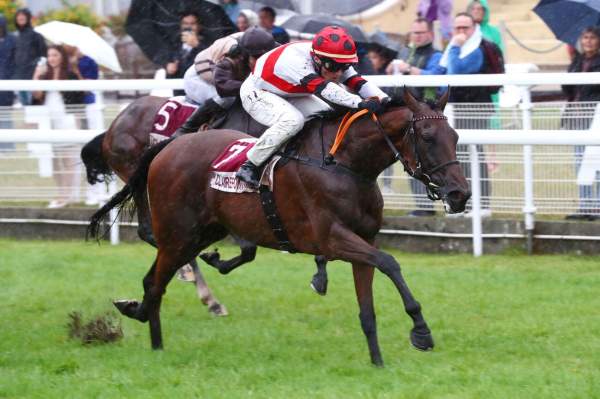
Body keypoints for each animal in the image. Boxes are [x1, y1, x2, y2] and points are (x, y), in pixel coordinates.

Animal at [86, 90, 472, 366]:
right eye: (426, 135)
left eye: (454, 135)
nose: (460, 193)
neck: (343, 164)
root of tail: (169, 145)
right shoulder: (332, 239)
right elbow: (391, 262)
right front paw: (421, 331)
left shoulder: (362, 240)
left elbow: (369, 305)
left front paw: (378, 361)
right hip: (179, 234)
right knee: (155, 279)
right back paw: (156, 339)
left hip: (200, 233)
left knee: (154, 279)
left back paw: (147, 323)